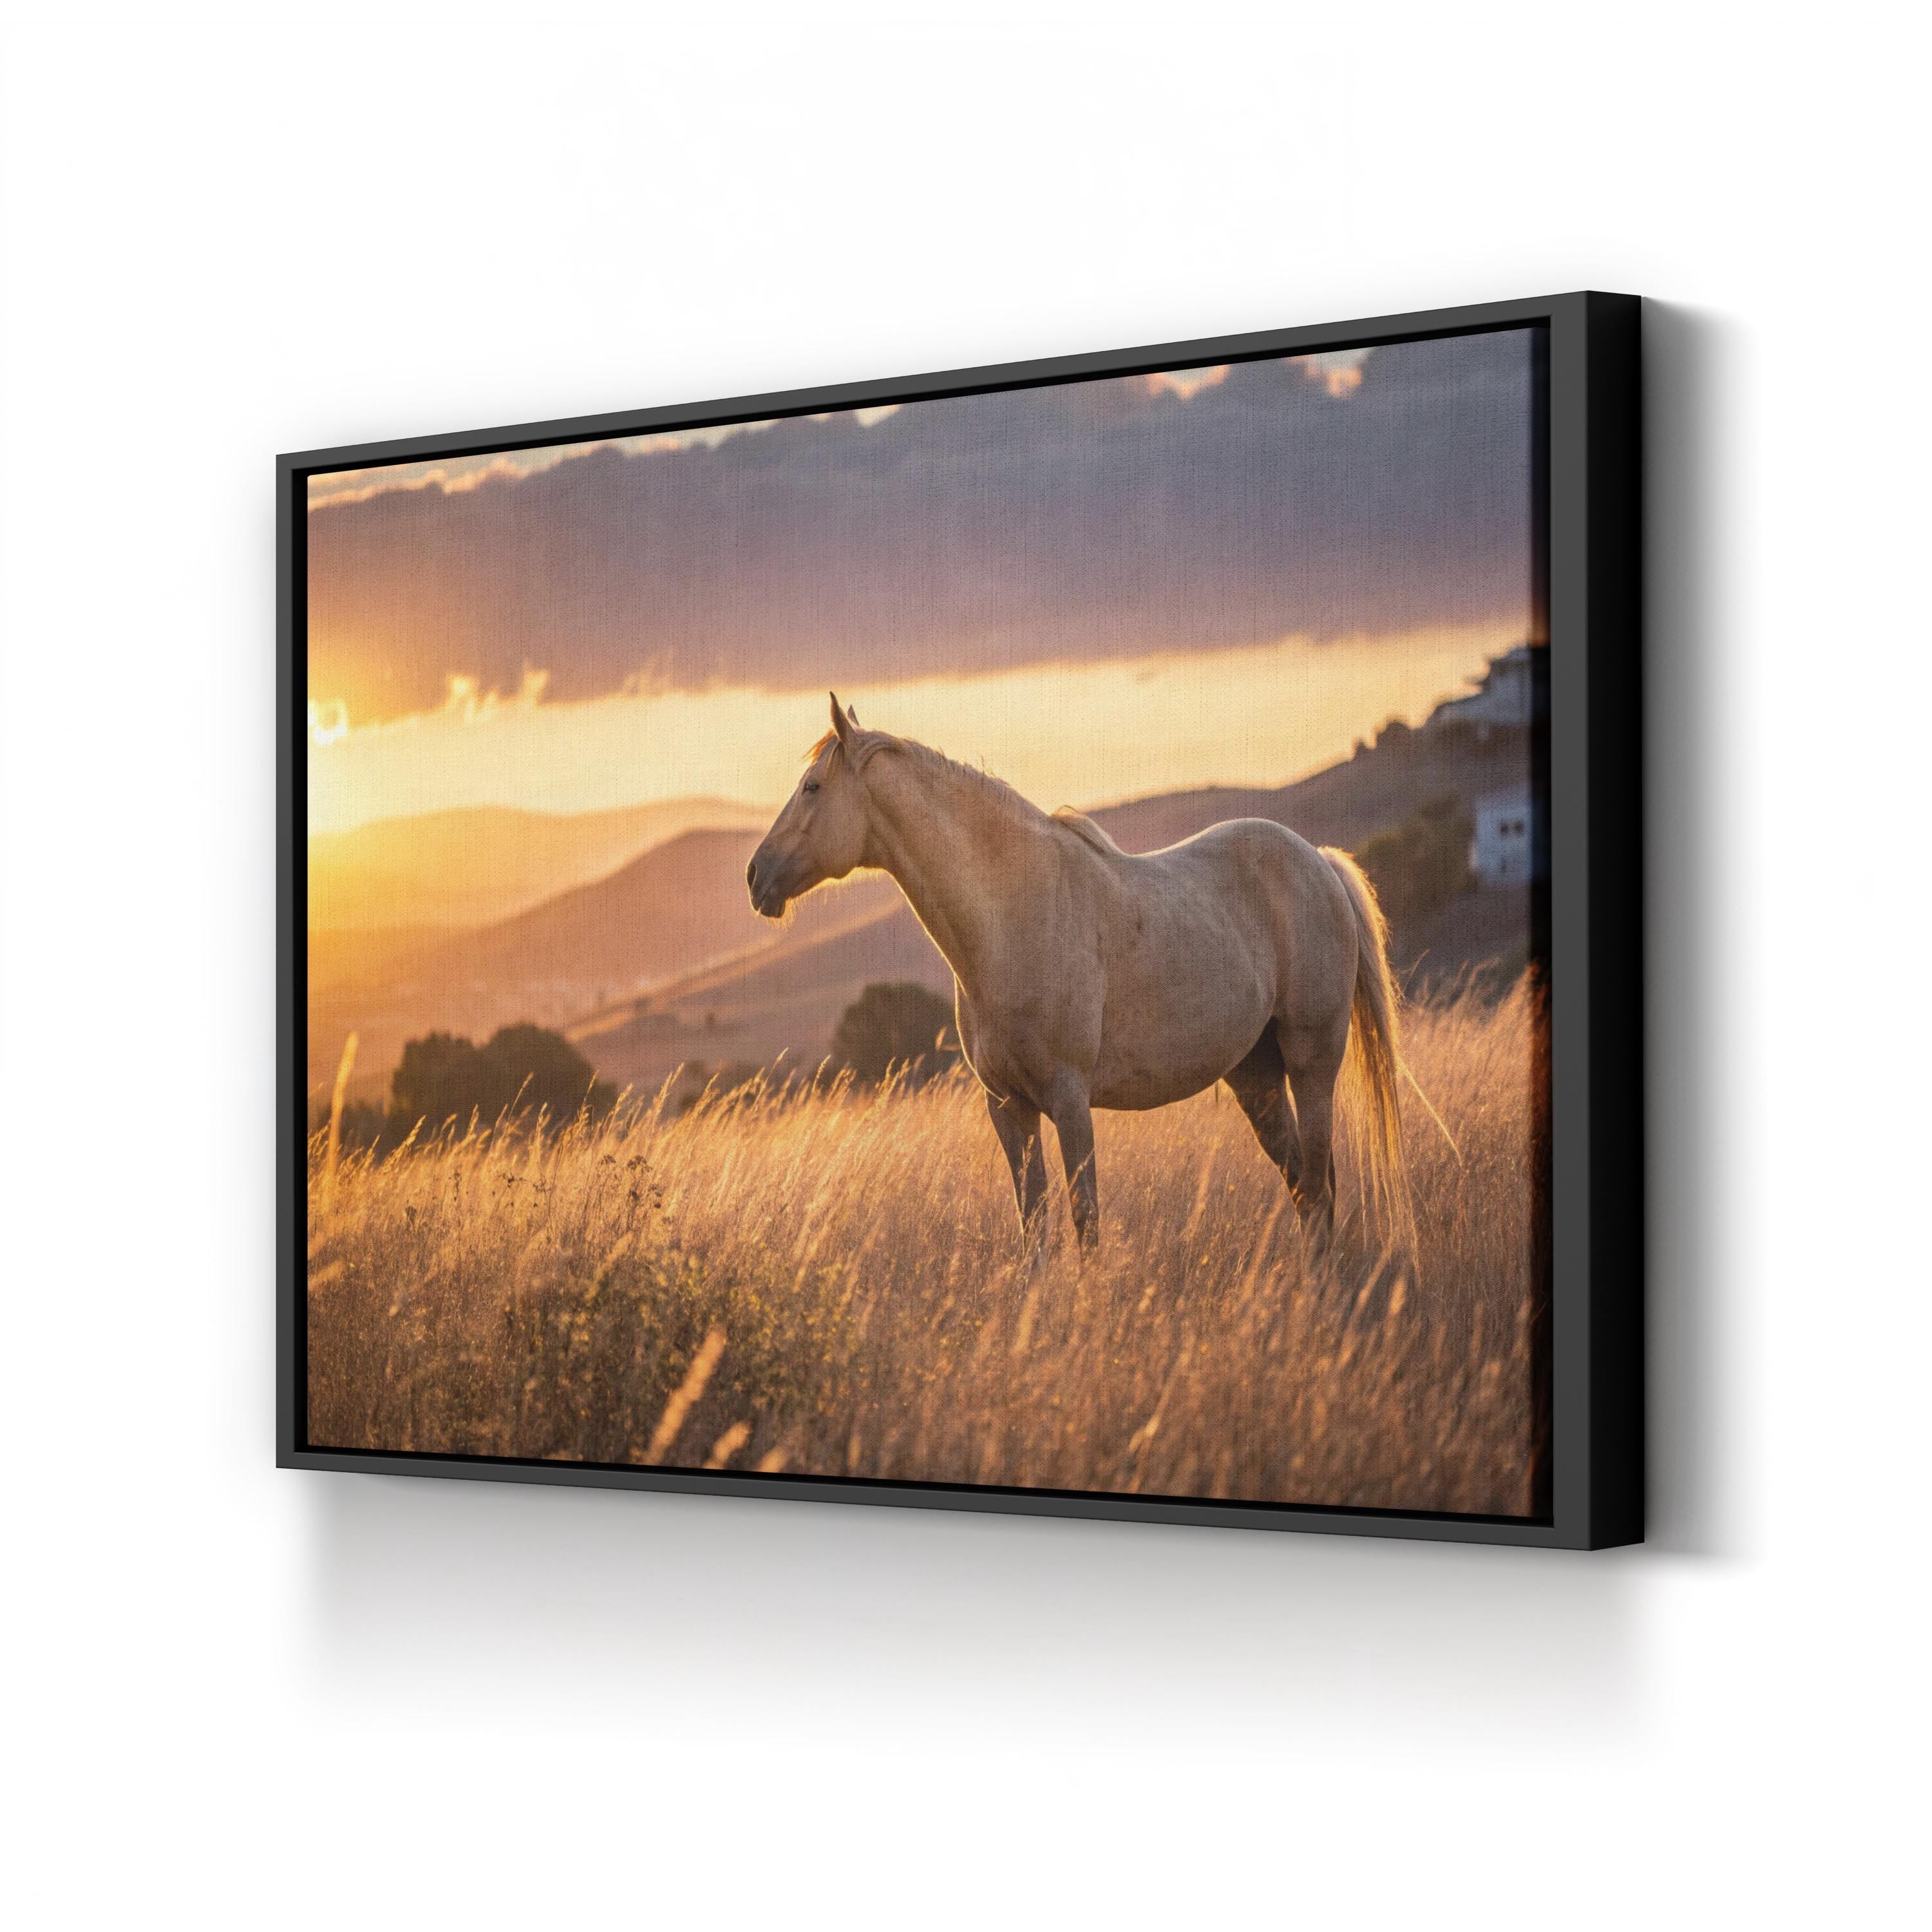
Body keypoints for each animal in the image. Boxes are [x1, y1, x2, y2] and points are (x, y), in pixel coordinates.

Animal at [747, 694, 1414, 1257]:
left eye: (812, 787)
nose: (756, 878)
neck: (1014, 916)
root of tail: (1317, 862)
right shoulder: (1008, 1108)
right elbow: (1034, 1226)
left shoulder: (1069, 1100)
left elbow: (1084, 1220)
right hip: (1256, 1075)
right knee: (1306, 1184)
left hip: (1311, 1061)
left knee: (1319, 1182)